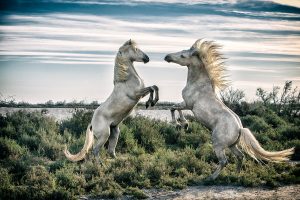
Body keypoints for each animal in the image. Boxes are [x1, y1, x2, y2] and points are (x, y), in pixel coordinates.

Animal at [164, 38, 292, 180]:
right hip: (232, 145)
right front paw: (184, 124)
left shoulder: (188, 104)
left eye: (182, 55)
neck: (199, 85)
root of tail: (240, 128)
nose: (167, 57)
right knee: (240, 156)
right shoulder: (185, 103)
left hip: (218, 144)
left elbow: (173, 108)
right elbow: (174, 108)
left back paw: (211, 178)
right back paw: (236, 175)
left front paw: (180, 124)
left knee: (224, 161)